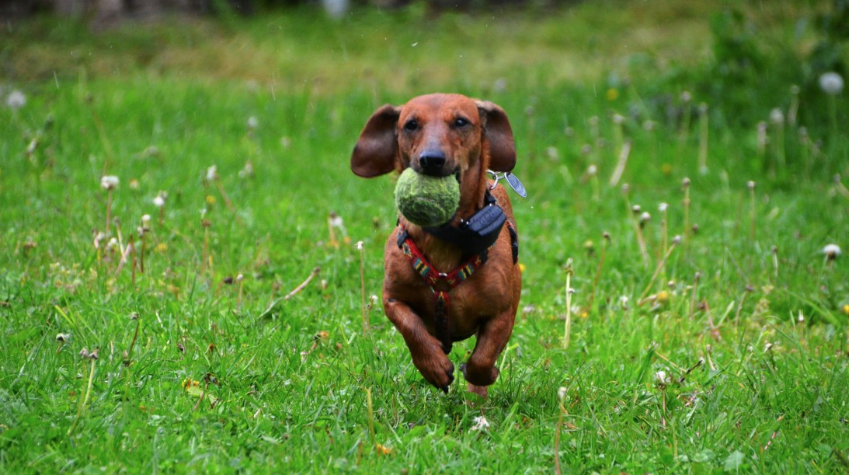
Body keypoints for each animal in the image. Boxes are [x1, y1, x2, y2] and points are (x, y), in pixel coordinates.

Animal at [348, 93, 520, 398]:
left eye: (461, 122)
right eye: (411, 124)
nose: (431, 159)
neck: (446, 238)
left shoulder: (503, 312)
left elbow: (482, 358)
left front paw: (484, 374)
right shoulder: (392, 298)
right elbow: (412, 328)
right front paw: (434, 366)